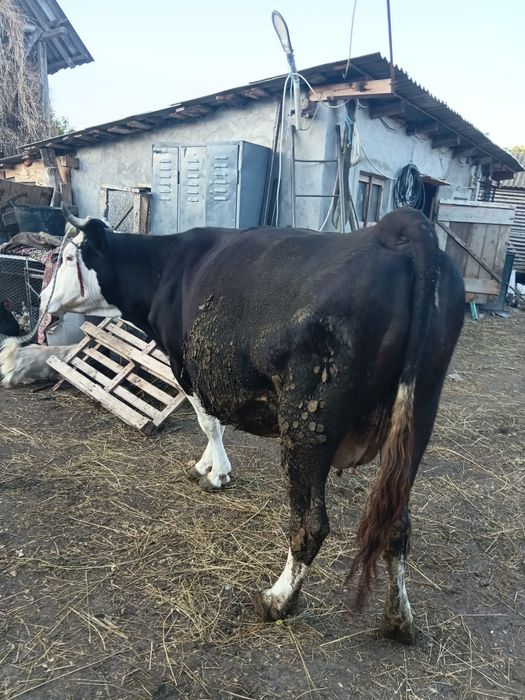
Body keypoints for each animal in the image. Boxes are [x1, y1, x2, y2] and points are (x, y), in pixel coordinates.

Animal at [40, 204, 465, 643]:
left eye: (67, 258)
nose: (40, 302)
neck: (165, 267)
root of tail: (390, 230)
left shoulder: (187, 365)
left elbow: (209, 422)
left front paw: (215, 474)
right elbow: (214, 425)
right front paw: (207, 467)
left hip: (307, 422)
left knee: (311, 523)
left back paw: (277, 599)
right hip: (417, 419)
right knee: (396, 526)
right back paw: (398, 619)